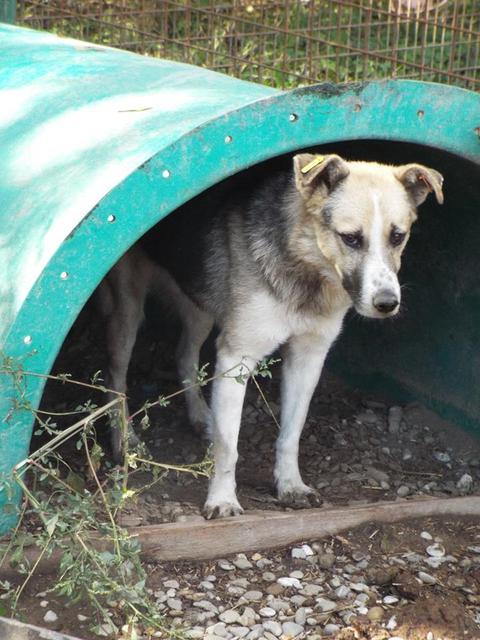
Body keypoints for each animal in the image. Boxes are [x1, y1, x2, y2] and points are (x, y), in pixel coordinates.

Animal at [97, 152, 442, 516]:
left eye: (397, 236)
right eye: (350, 238)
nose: (387, 303)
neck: (305, 270)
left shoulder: (308, 358)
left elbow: (291, 433)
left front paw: (290, 485)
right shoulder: (237, 357)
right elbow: (228, 445)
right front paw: (222, 499)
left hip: (199, 305)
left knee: (184, 354)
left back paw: (201, 416)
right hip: (128, 309)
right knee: (115, 376)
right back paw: (124, 441)